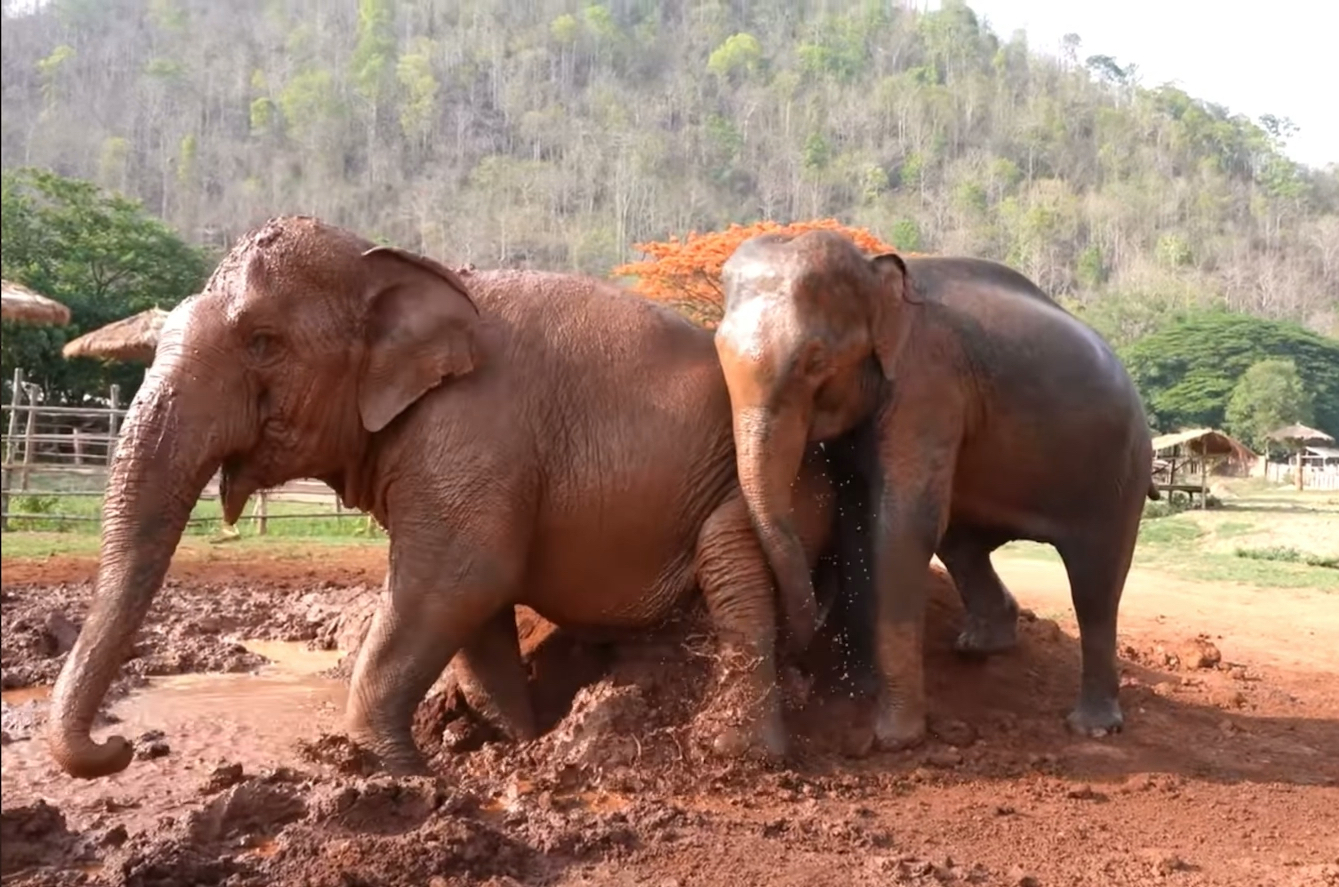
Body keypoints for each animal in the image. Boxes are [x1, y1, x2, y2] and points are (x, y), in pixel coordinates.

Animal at [54, 218, 846, 782]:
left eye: (263, 341)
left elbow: (458, 575)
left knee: (734, 562)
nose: (120, 747)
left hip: (778, 493)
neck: (394, 261)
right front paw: (510, 742)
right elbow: (475, 601)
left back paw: (743, 753)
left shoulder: (470, 430)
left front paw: (395, 771)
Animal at [712, 227, 1162, 750]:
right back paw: (981, 646)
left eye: (815, 360)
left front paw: (894, 737)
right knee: (963, 544)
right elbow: (856, 522)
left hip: (1120, 471)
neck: (873, 271)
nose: (798, 672)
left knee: (1094, 584)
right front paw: (857, 693)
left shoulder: (929, 383)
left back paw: (1092, 726)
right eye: (717, 348)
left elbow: (902, 526)